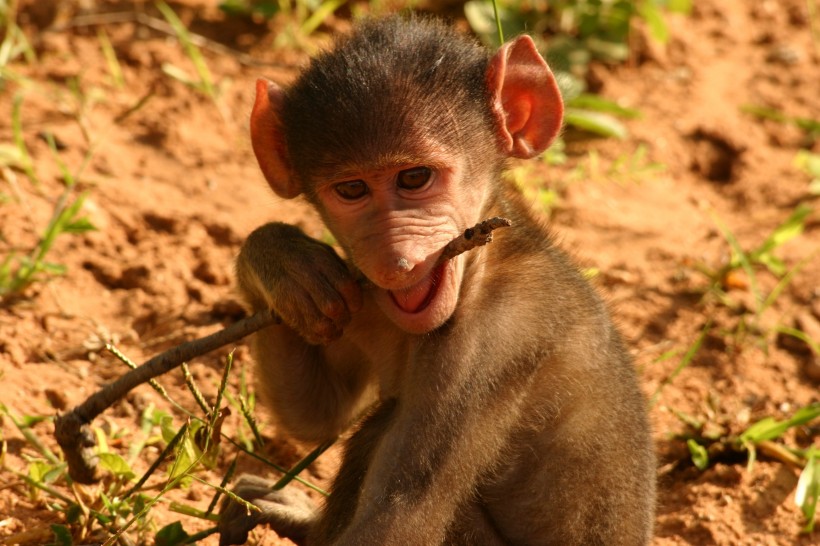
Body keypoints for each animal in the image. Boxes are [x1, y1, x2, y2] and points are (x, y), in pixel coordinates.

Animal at [218, 13, 652, 544]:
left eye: (414, 178)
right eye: (352, 189)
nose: (397, 263)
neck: (482, 265)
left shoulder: (492, 342)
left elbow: (405, 513)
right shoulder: (360, 294)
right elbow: (318, 413)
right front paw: (282, 262)